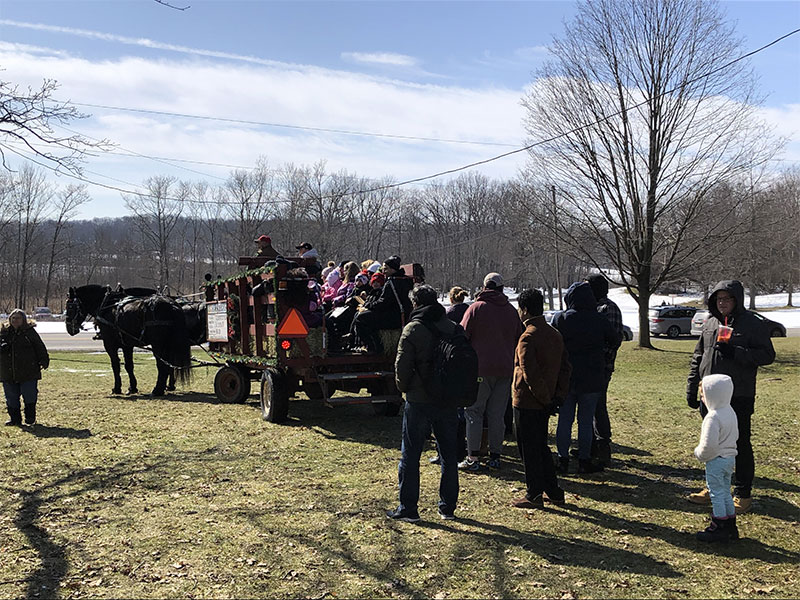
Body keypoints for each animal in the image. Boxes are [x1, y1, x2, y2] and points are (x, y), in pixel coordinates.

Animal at [66, 284, 194, 396]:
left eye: (70, 306)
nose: (69, 329)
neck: (107, 305)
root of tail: (173, 305)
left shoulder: (109, 344)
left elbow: (115, 365)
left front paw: (117, 388)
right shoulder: (127, 345)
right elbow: (129, 366)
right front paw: (132, 387)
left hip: (158, 345)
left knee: (162, 366)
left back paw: (157, 390)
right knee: (168, 366)